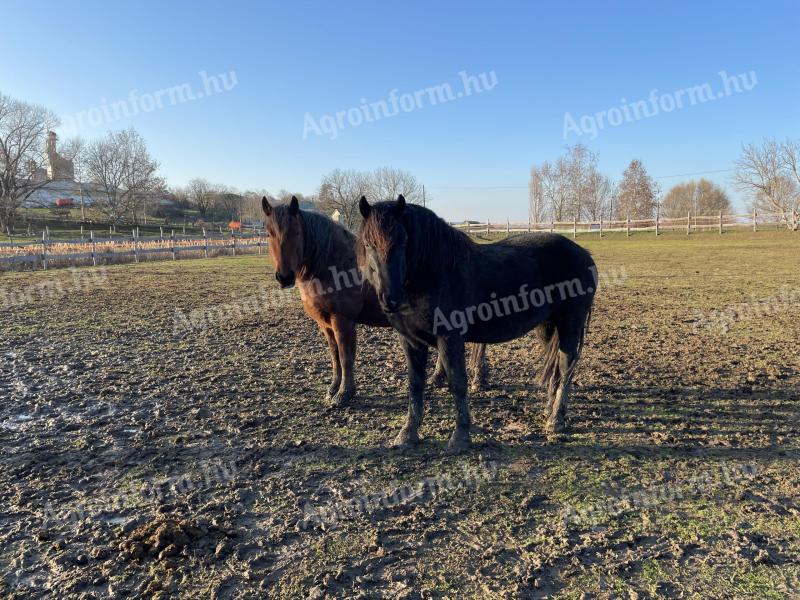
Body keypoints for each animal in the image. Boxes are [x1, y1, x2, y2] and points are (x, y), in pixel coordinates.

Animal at [262, 195, 488, 406]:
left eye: (296, 232)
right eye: (269, 233)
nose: (284, 277)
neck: (332, 266)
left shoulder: (343, 321)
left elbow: (345, 357)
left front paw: (344, 394)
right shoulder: (324, 324)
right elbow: (335, 357)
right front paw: (333, 389)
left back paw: (477, 379)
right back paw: (439, 378)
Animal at [360, 196, 596, 450]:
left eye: (403, 241)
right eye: (368, 244)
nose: (390, 299)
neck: (434, 274)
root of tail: (583, 254)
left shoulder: (450, 338)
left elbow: (457, 383)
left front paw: (460, 437)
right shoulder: (411, 341)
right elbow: (415, 385)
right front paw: (407, 434)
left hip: (570, 324)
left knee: (566, 366)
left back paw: (556, 421)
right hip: (548, 326)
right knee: (556, 368)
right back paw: (549, 411)